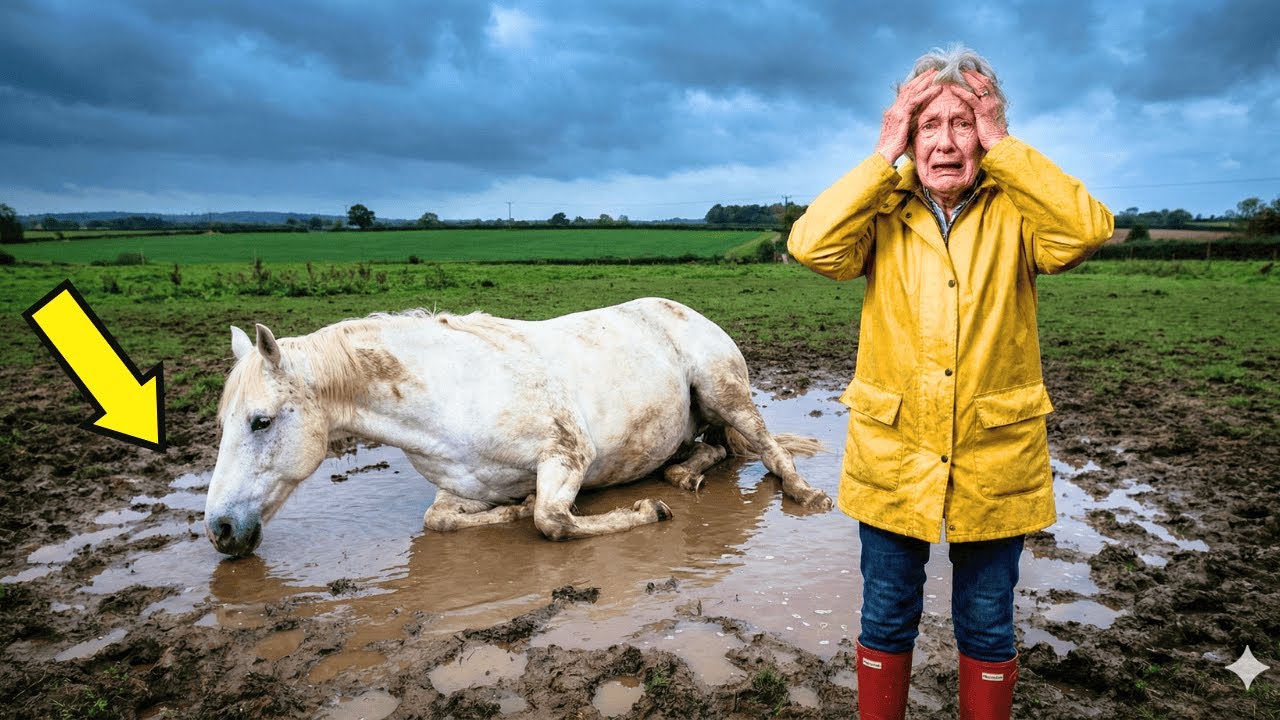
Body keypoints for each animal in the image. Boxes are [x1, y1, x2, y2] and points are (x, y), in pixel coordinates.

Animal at [204, 297, 832, 557]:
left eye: (260, 422)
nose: (220, 531)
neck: (451, 390)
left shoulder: (568, 454)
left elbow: (552, 521)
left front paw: (646, 512)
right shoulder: (459, 487)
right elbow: (441, 521)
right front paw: (510, 508)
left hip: (724, 390)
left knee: (765, 445)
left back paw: (806, 493)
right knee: (717, 451)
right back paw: (683, 475)